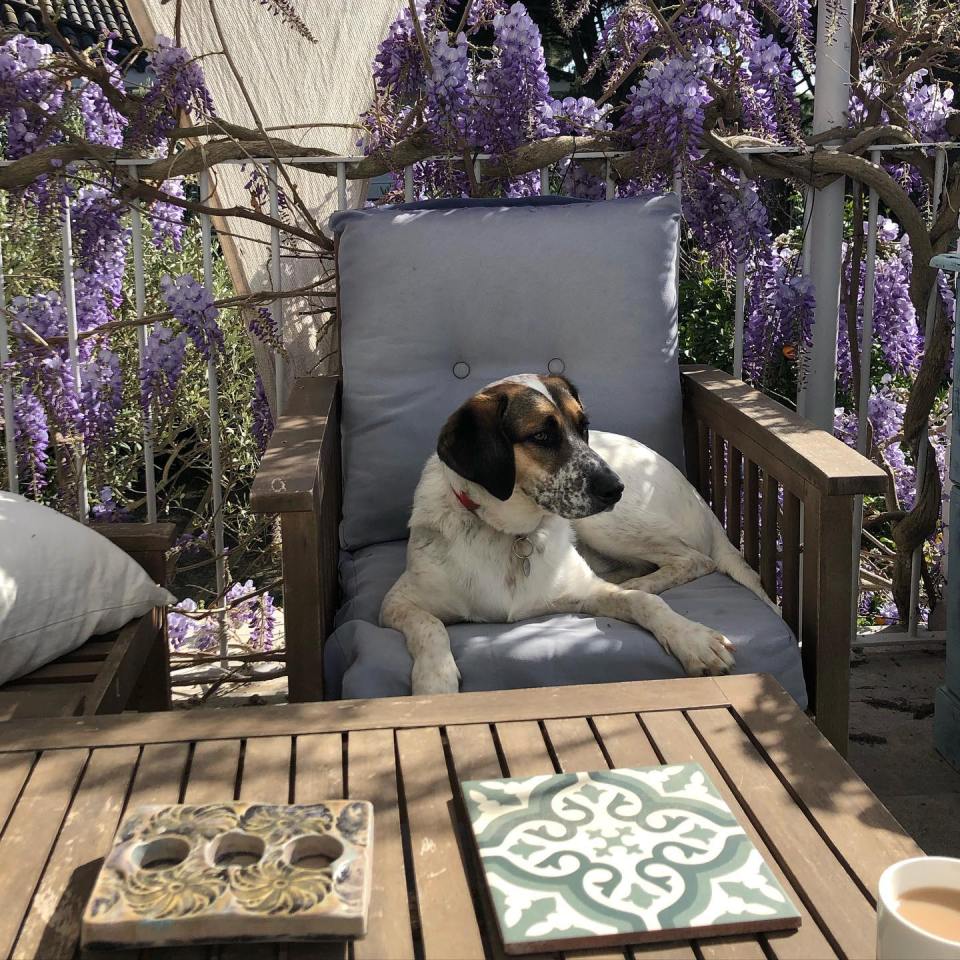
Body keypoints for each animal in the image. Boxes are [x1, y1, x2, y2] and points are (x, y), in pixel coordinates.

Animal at [378, 372, 776, 692]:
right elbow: (431, 626)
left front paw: (692, 638)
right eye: (541, 435)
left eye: (583, 426)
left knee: (694, 560)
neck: (513, 534)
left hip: (605, 525)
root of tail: (701, 501)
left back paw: (638, 581)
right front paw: (435, 679)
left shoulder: (585, 591)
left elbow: (645, 602)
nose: (616, 488)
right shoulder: (397, 603)